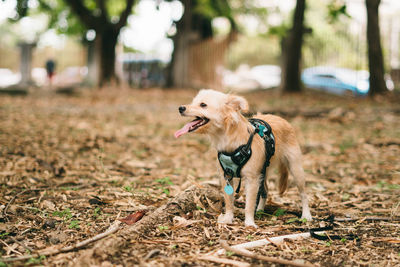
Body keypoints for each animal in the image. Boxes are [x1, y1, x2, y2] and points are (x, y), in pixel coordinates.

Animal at [176, 90, 312, 228]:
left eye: (203, 105)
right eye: (193, 102)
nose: (181, 108)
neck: (229, 141)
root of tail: (281, 119)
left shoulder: (252, 179)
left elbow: (249, 204)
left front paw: (249, 223)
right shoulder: (226, 177)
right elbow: (229, 201)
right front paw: (228, 218)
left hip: (295, 169)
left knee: (303, 194)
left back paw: (306, 215)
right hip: (263, 171)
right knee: (265, 191)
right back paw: (260, 210)